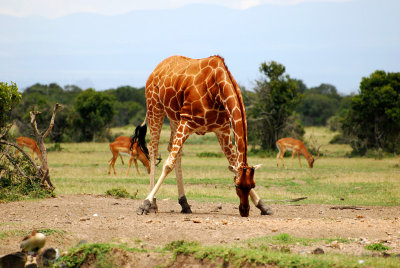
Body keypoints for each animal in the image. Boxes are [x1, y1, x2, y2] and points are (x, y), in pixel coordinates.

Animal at [136, 55, 274, 217]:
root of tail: (156, 69)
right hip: (155, 107)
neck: (216, 88)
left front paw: (263, 206)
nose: (245, 211)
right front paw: (144, 204)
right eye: (237, 186)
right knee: (153, 149)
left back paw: (184, 204)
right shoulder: (187, 121)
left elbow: (233, 162)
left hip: (174, 117)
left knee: (174, 150)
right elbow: (168, 165)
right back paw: (153, 204)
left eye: (253, 185)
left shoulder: (222, 129)